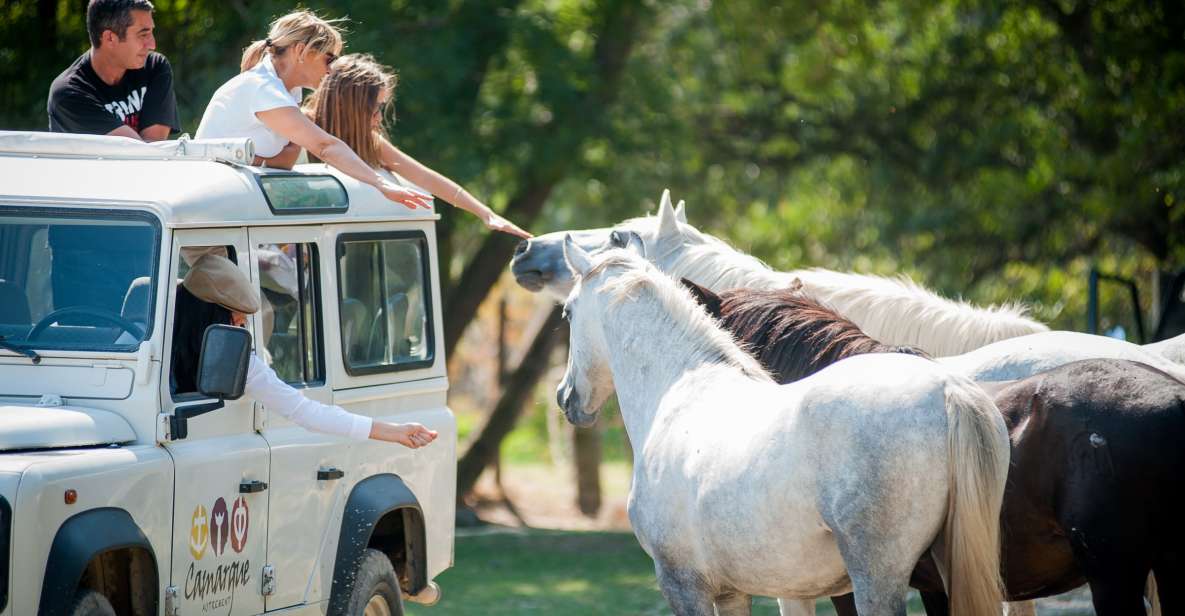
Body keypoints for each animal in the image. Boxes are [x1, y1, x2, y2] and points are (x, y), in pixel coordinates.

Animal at [554, 239, 1009, 616]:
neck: (680, 388)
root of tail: (949, 391)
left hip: (878, 581)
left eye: (568, 311)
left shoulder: (683, 586)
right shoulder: (735, 592)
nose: (565, 396)